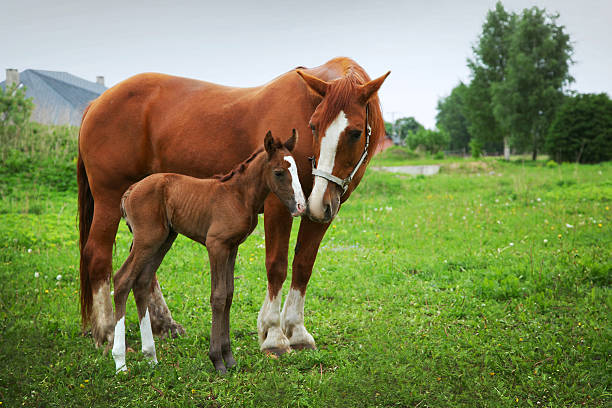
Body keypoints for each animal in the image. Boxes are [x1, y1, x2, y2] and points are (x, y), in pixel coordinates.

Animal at [110, 131, 306, 372]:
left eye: (296, 169)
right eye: (278, 172)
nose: (301, 206)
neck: (238, 196)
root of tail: (130, 191)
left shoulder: (232, 247)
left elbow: (229, 294)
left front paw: (229, 358)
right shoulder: (216, 245)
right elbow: (218, 296)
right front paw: (217, 361)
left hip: (163, 240)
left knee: (142, 282)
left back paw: (151, 356)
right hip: (147, 240)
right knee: (122, 280)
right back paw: (120, 362)